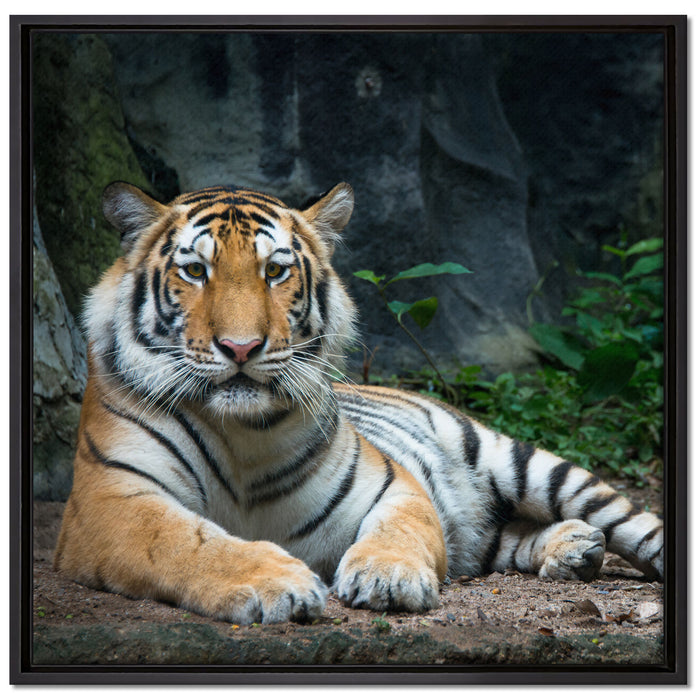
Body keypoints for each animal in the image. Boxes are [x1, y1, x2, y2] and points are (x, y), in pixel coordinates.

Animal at [54, 181, 664, 625]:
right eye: (195, 271)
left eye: (274, 270)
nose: (241, 347)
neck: (243, 432)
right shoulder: (111, 501)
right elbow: (188, 543)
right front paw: (277, 582)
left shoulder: (392, 484)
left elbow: (401, 531)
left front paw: (387, 578)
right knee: (497, 538)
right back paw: (574, 547)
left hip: (522, 462)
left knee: (632, 523)